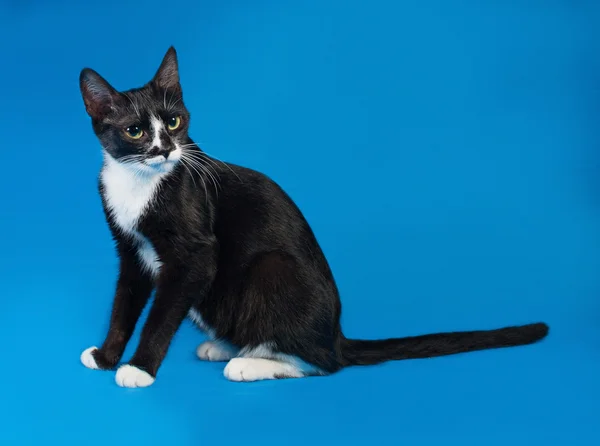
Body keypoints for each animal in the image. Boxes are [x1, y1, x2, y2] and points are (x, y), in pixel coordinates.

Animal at [78, 46, 548, 386]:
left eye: (174, 122)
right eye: (135, 131)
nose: (166, 150)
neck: (138, 183)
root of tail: (337, 334)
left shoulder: (195, 253)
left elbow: (161, 314)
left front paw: (139, 368)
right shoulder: (130, 250)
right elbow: (123, 304)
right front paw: (107, 355)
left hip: (272, 270)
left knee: (323, 363)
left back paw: (250, 363)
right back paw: (232, 346)